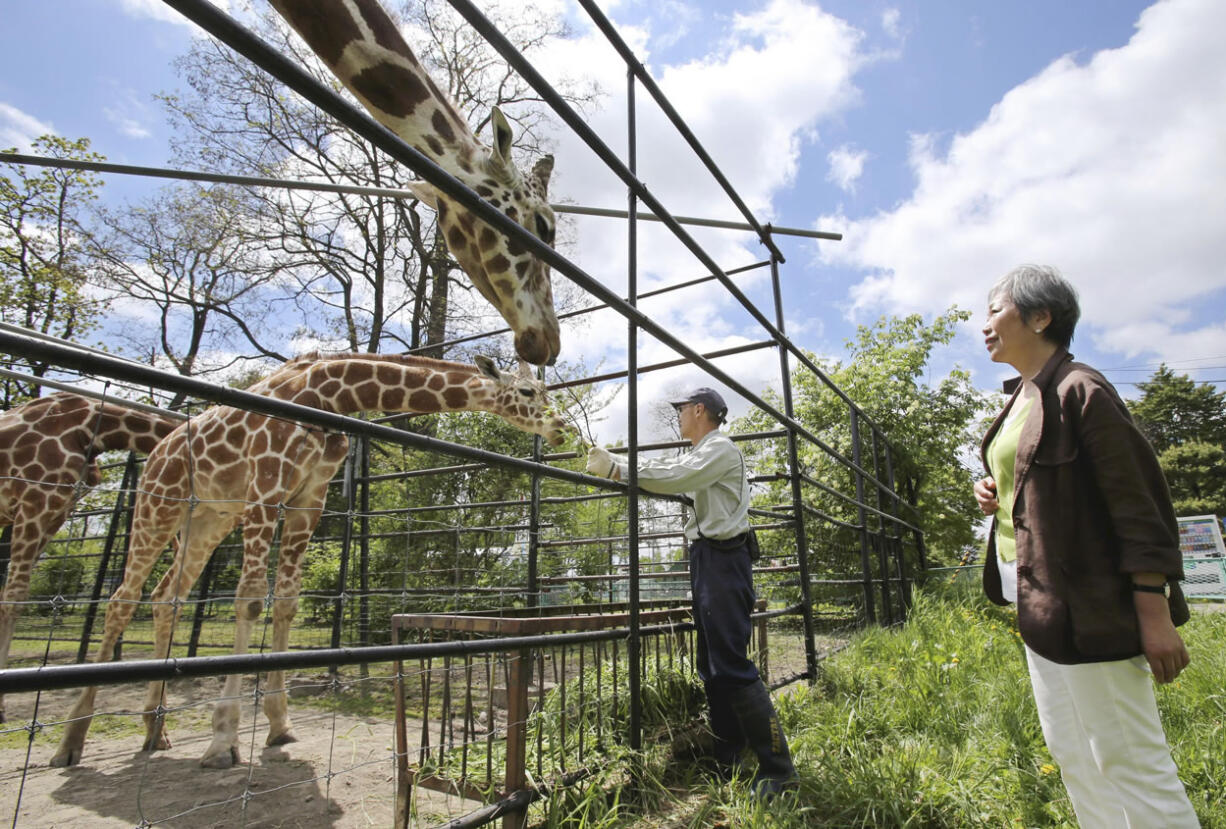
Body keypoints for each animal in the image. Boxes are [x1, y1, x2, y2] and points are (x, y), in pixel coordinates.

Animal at [52, 350, 573, 770]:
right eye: (527, 390)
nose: (560, 426)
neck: (330, 395)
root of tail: (158, 450)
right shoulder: (267, 485)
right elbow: (249, 602)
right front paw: (223, 740)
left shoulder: (309, 497)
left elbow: (286, 602)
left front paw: (279, 724)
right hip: (159, 505)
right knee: (122, 599)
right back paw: (71, 740)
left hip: (208, 518)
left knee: (167, 598)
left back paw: (155, 729)